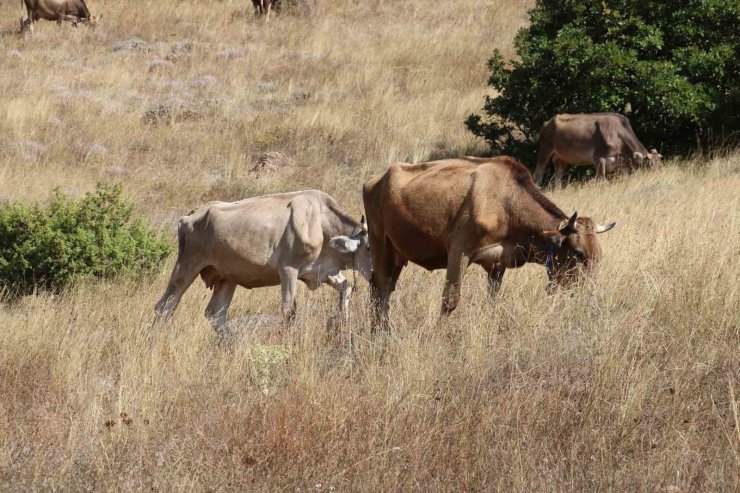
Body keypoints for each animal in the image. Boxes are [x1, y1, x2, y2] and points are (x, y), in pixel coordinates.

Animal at [157, 188, 376, 330]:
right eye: (369, 247)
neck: (321, 222)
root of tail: (191, 214)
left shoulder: (322, 271)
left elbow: (346, 286)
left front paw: (343, 322)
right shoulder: (288, 269)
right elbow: (288, 309)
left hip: (227, 277)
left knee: (216, 314)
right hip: (187, 264)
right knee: (165, 306)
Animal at [362, 156, 612, 328]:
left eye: (600, 256)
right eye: (579, 254)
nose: (590, 294)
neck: (507, 204)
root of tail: (376, 179)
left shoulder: (498, 263)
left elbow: (492, 299)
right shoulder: (459, 252)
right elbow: (449, 300)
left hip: (398, 255)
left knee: (386, 289)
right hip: (379, 243)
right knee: (379, 288)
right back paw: (380, 332)